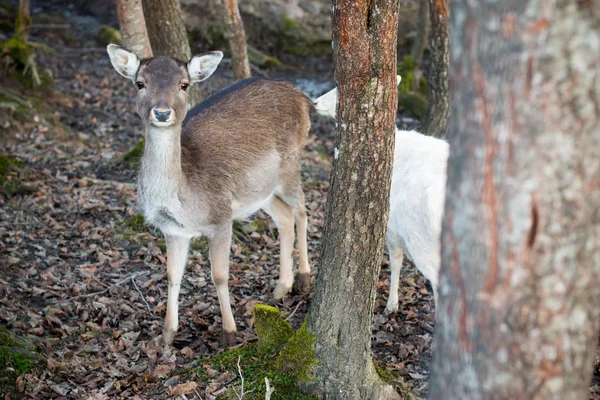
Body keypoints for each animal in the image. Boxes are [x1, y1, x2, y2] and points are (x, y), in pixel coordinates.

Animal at [107, 43, 312, 344]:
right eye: (140, 83)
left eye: (184, 84)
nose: (161, 112)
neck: (182, 200)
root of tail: (303, 97)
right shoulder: (173, 230)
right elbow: (172, 275)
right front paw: (167, 335)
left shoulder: (221, 217)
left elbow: (219, 276)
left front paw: (229, 334)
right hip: (261, 190)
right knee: (284, 217)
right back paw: (281, 288)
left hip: (290, 167)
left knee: (302, 210)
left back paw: (305, 279)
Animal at [314, 80, 446, 312]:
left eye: (338, 89)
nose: (315, 102)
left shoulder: (391, 225)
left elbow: (395, 260)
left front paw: (391, 305)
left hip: (424, 241)